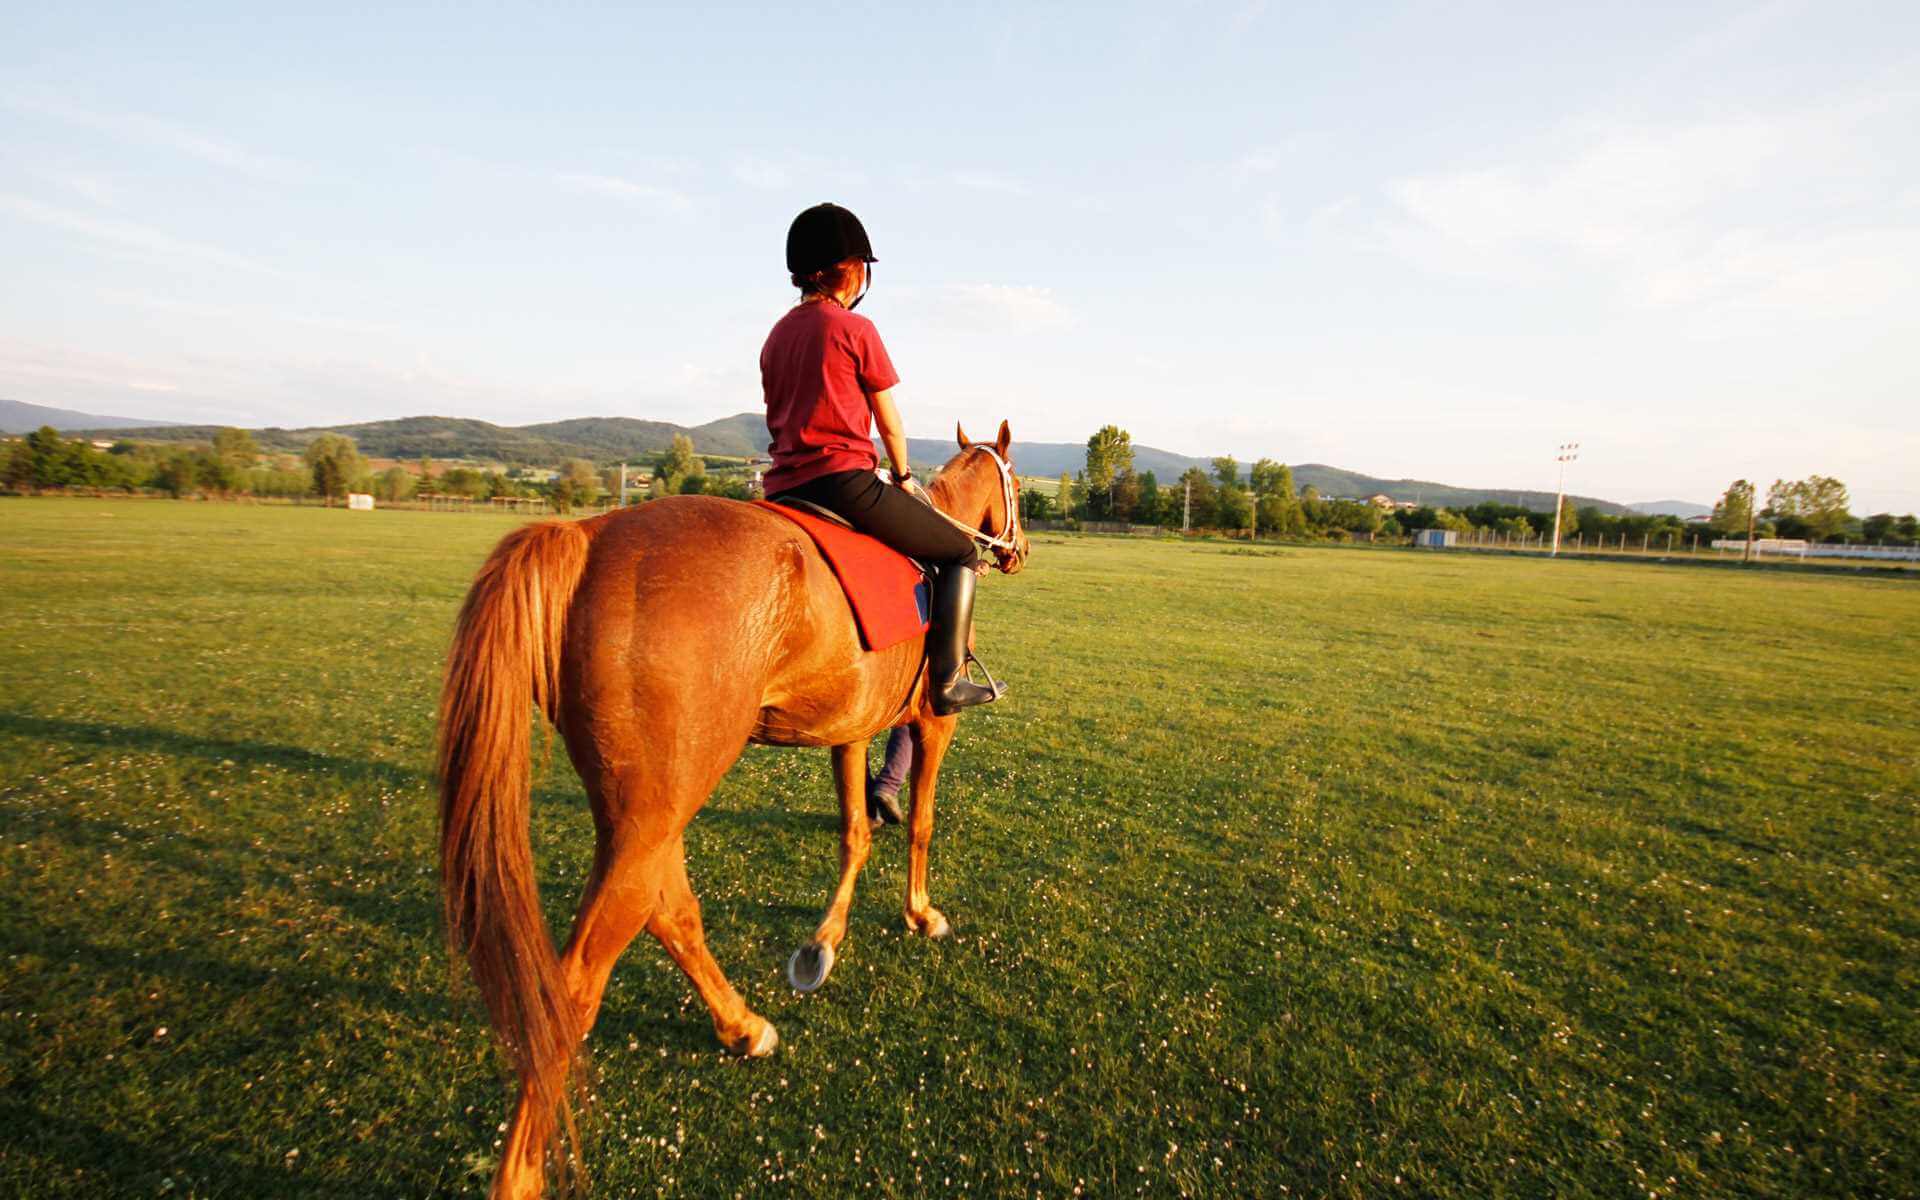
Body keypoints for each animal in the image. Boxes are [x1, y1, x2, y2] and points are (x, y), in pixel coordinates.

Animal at [437, 420, 1029, 1198]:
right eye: (1017, 487)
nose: (1019, 551)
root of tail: (588, 538)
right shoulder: (933, 723)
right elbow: (921, 826)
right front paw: (921, 914)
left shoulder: (852, 727)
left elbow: (855, 833)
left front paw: (822, 945)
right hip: (657, 807)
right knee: (571, 986)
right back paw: (523, 1172)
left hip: (646, 809)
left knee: (669, 909)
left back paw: (743, 1026)